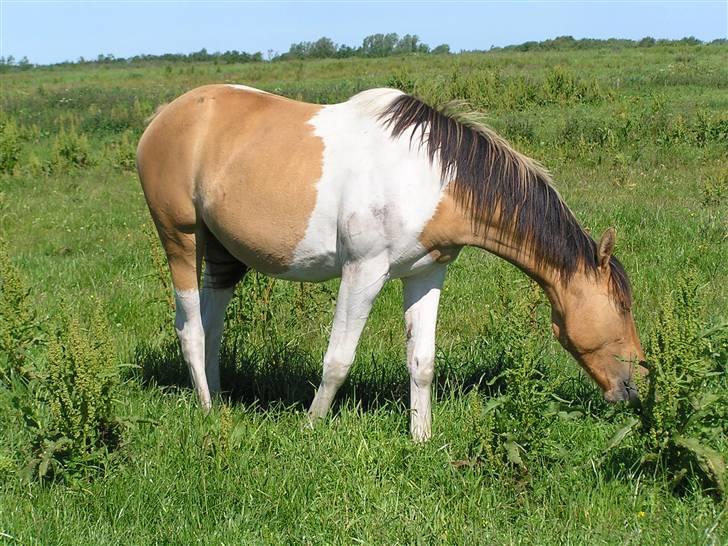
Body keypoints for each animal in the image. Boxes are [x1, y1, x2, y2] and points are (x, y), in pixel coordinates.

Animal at [138, 86, 648, 442]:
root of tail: (163, 116)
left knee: (212, 325)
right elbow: (338, 360)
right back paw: (207, 410)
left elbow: (421, 361)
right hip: (180, 238)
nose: (638, 385)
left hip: (224, 254)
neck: (430, 176)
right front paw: (310, 428)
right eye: (623, 307)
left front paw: (422, 438)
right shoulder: (363, 272)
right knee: (190, 329)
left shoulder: (426, 273)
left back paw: (221, 400)